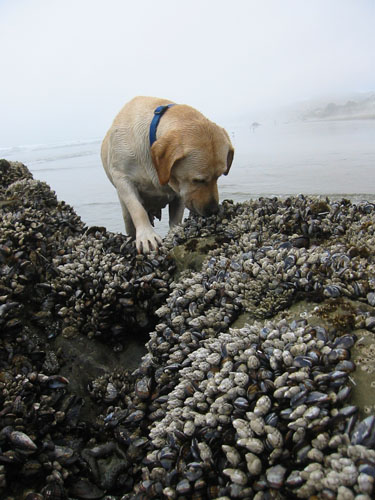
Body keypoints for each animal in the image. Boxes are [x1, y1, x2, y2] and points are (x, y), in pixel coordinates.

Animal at [101, 96, 234, 254]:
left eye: (219, 176)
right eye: (197, 180)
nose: (213, 210)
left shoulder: (180, 192)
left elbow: (175, 218)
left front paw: (175, 234)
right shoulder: (122, 177)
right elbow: (137, 208)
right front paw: (147, 235)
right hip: (126, 214)